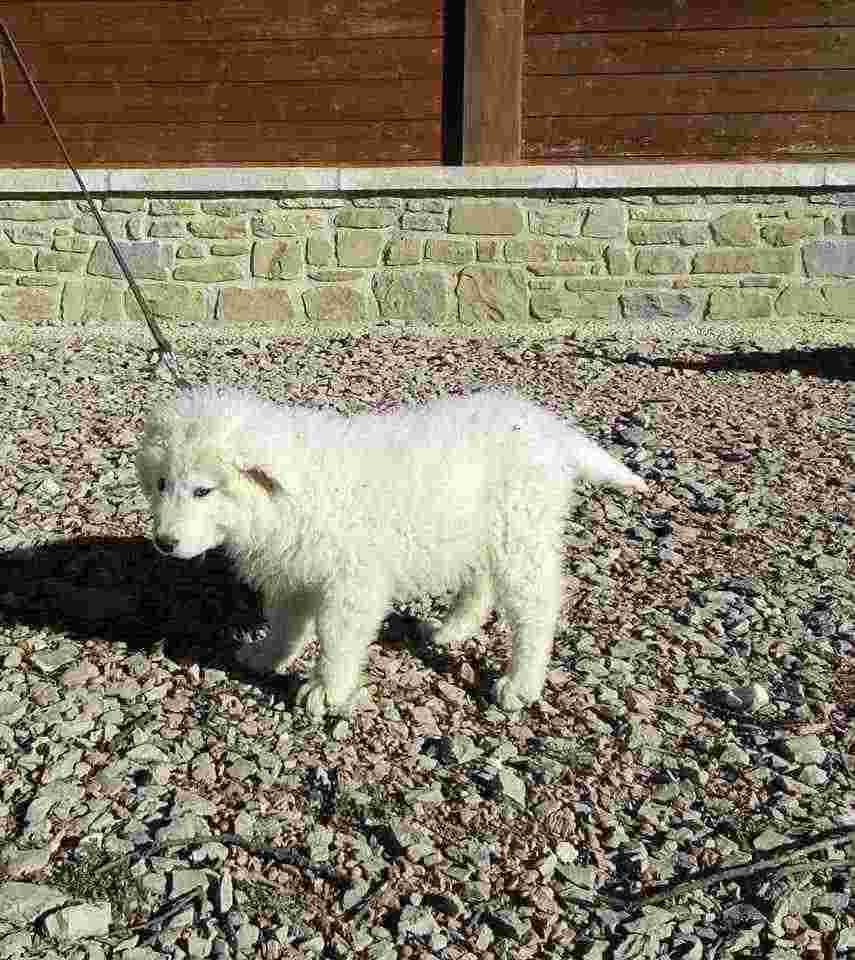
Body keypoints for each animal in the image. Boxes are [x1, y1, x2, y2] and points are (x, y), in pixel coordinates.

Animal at [137, 386, 644, 716]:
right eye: (161, 484)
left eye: (203, 491)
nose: (165, 543)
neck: (292, 495)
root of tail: (546, 425)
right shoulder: (294, 569)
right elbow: (286, 622)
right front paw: (269, 657)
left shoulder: (352, 581)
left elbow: (337, 637)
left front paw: (326, 689)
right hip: (479, 532)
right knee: (481, 584)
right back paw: (452, 629)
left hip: (520, 535)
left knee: (535, 611)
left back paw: (521, 681)